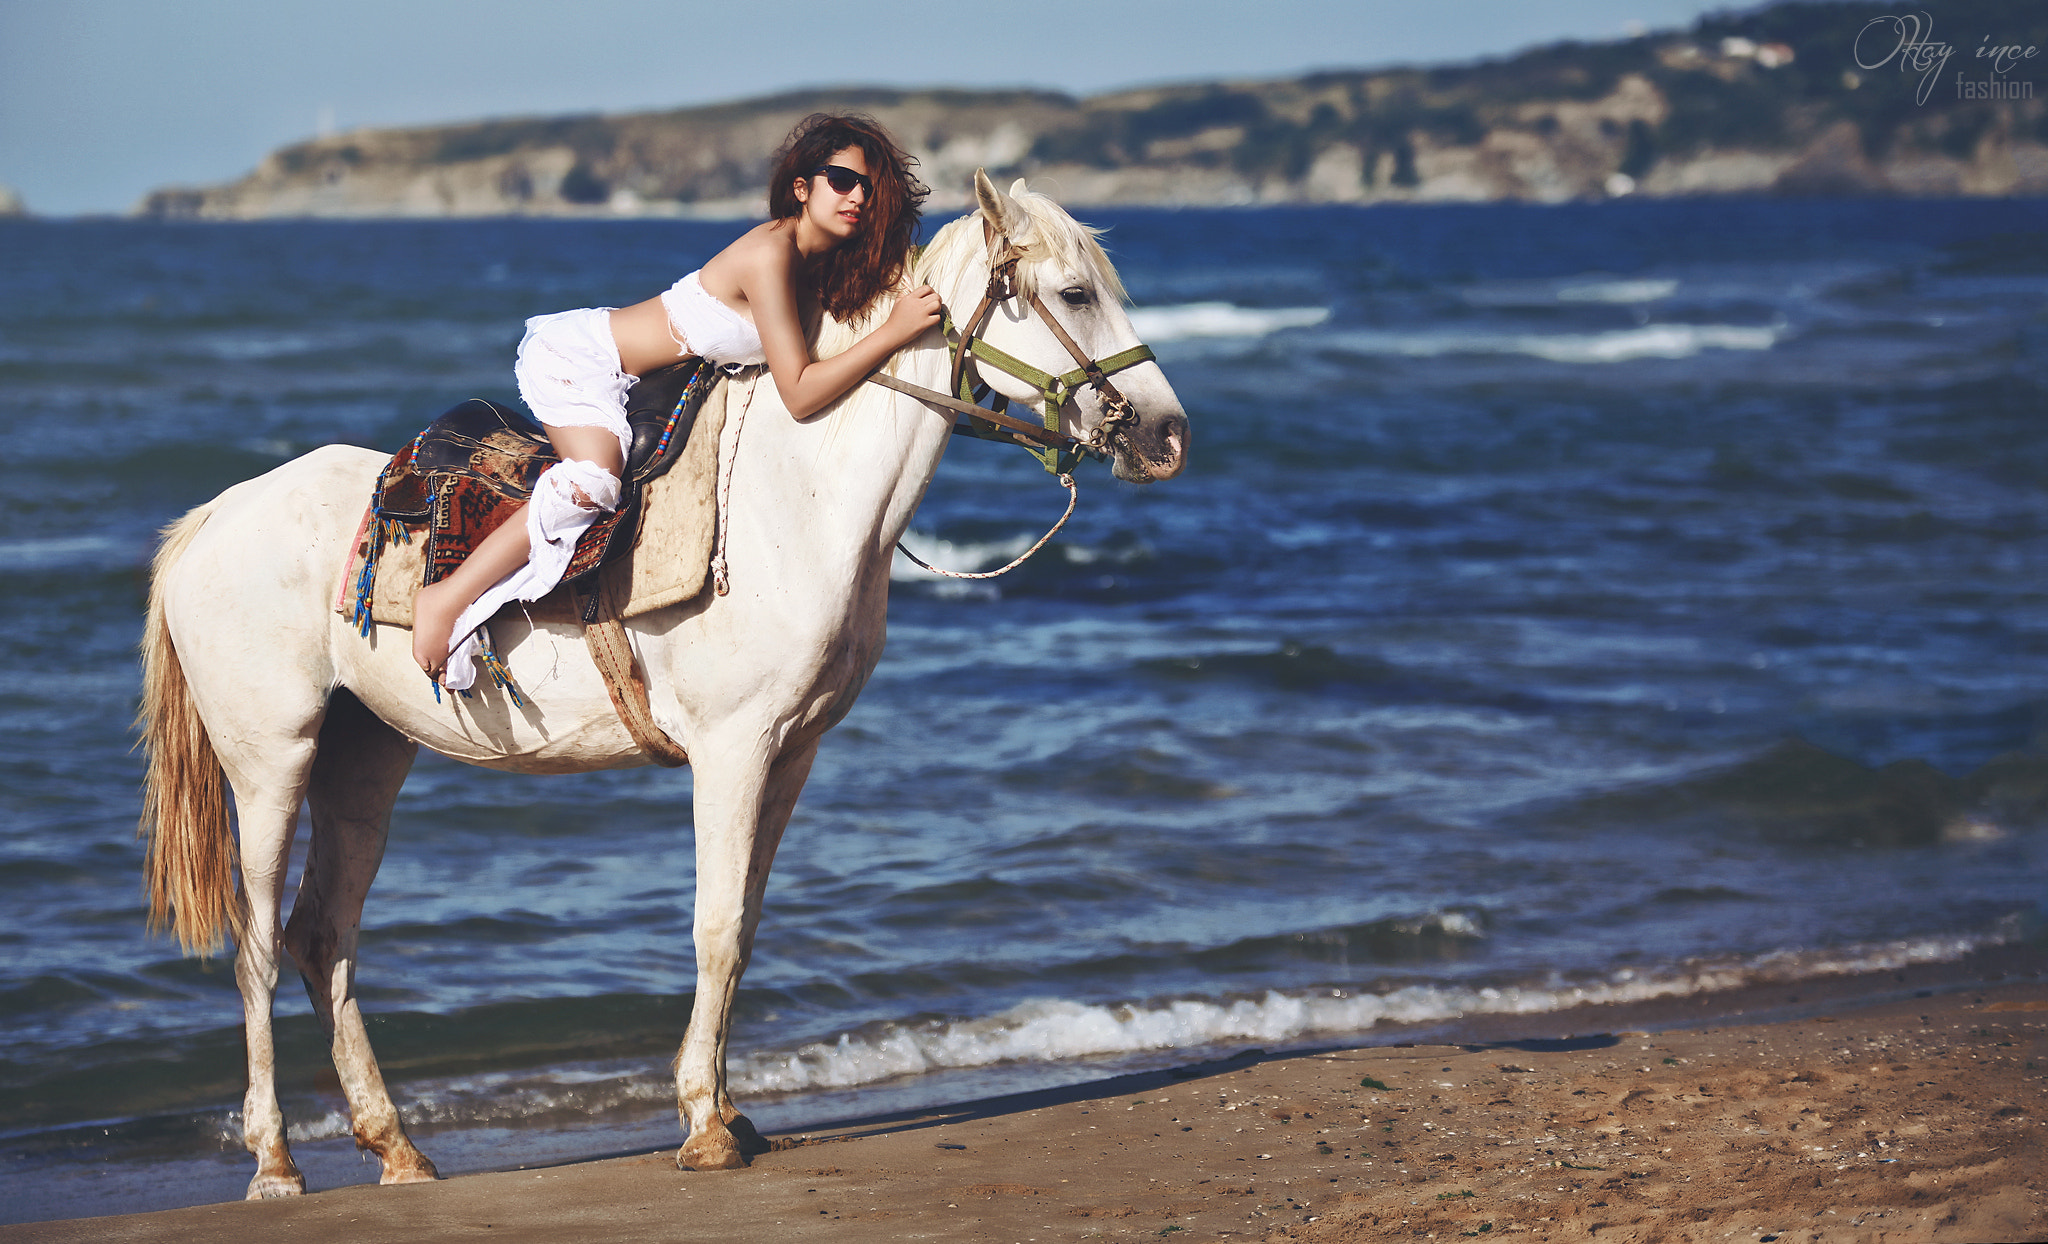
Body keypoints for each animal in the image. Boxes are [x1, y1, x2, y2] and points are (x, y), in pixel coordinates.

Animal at [140, 173, 1187, 1196]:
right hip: (270, 762)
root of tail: (211, 519)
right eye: (1075, 293)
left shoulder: (791, 753)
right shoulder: (732, 747)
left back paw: (395, 1147)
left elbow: (746, 927)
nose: (1169, 435)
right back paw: (276, 1164)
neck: (797, 498)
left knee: (324, 936)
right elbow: (715, 928)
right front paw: (703, 1127)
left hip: (365, 759)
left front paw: (727, 1111)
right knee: (259, 943)